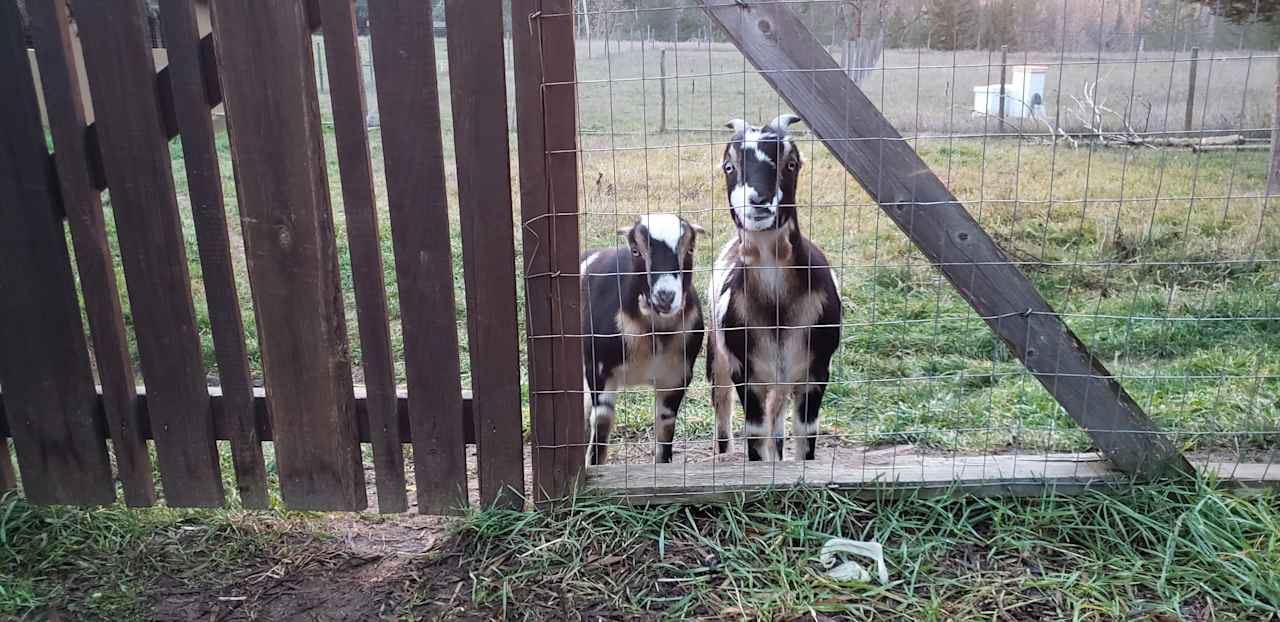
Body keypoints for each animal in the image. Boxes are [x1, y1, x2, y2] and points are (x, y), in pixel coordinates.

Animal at [583, 216, 706, 463]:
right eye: (635, 250)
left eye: (690, 248)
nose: (665, 297)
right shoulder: (598, 369)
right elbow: (601, 423)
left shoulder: (676, 377)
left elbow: (665, 428)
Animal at [711, 113, 839, 458]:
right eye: (729, 166)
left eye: (792, 163)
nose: (759, 201)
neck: (777, 305)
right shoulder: (746, 374)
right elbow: (755, 436)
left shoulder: (816, 372)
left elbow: (805, 437)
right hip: (718, 356)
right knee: (722, 403)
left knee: (777, 422)